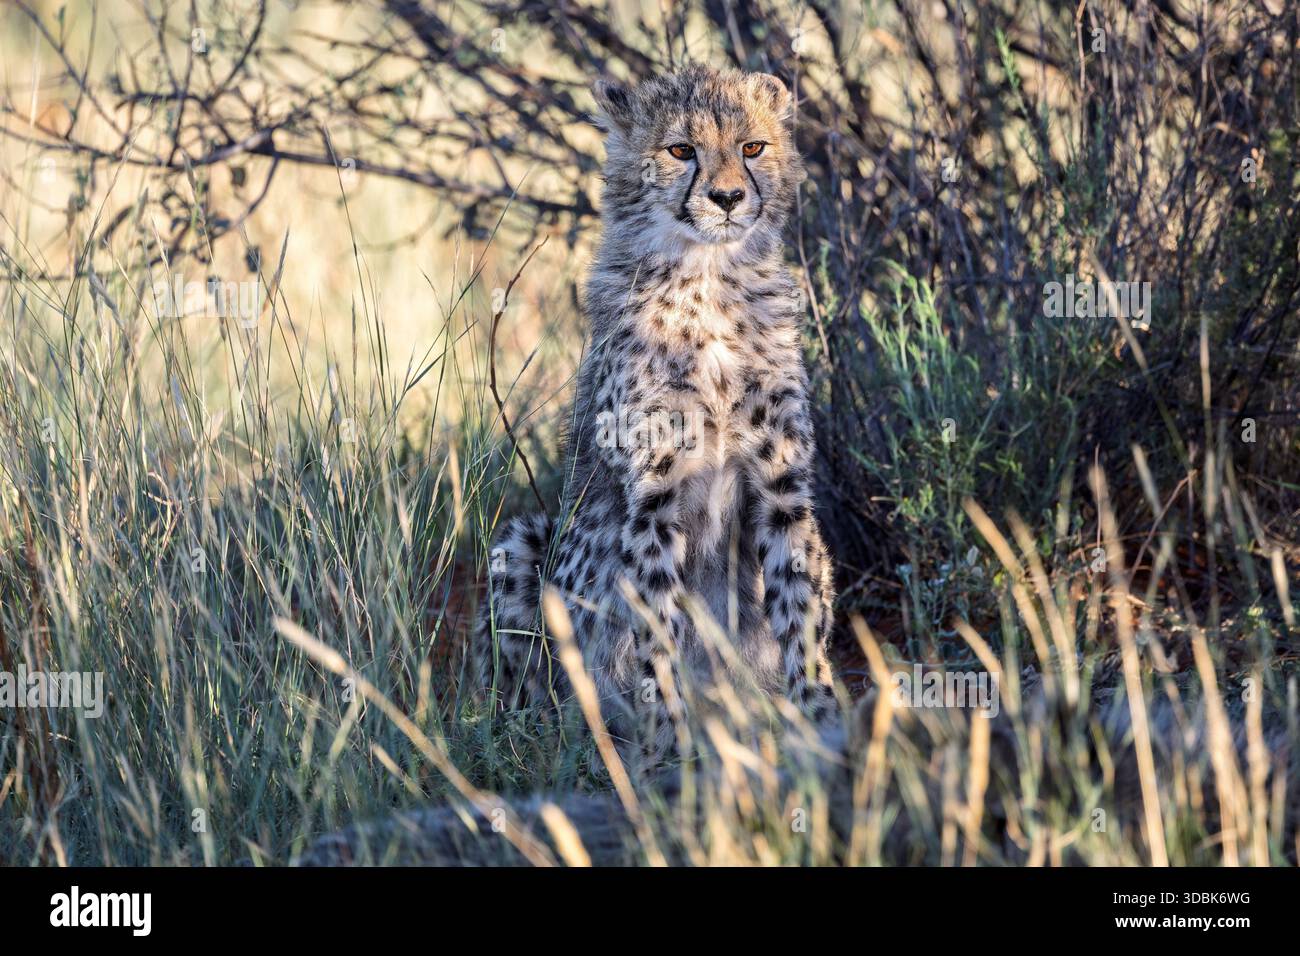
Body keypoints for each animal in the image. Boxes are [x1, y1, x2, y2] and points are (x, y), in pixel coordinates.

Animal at [471, 66, 836, 755]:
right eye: (680, 150)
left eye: (752, 147)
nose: (727, 198)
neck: (709, 280)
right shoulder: (654, 497)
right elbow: (656, 628)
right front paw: (670, 743)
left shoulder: (782, 485)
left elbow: (799, 609)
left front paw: (822, 719)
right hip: (520, 544)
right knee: (530, 690)